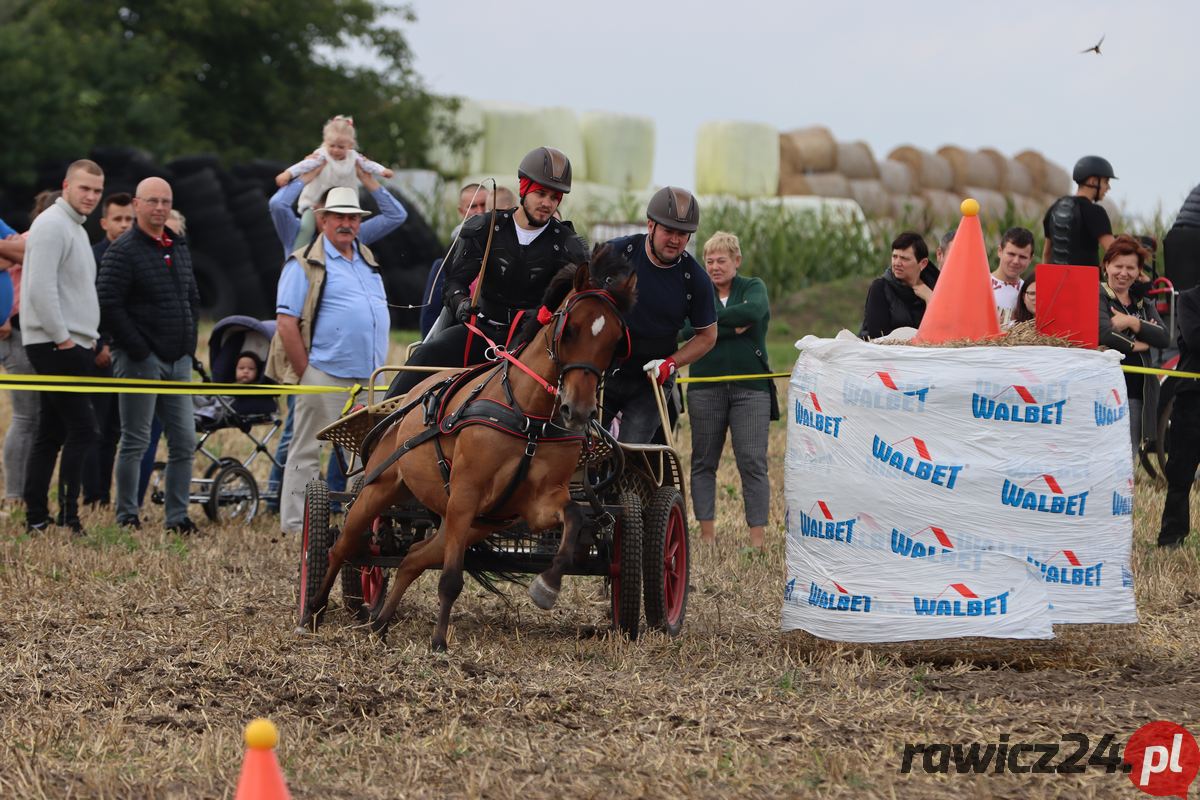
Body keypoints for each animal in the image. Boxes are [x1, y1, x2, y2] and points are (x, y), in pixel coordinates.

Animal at [298, 245, 638, 652]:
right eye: (569, 330)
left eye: (616, 342)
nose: (579, 410)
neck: (528, 416)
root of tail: (410, 398)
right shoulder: (465, 493)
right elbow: (450, 578)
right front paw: (439, 642)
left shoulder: (536, 503)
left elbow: (573, 517)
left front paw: (546, 586)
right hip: (381, 490)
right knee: (342, 547)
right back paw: (312, 612)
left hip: (471, 522)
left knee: (412, 558)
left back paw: (380, 623)